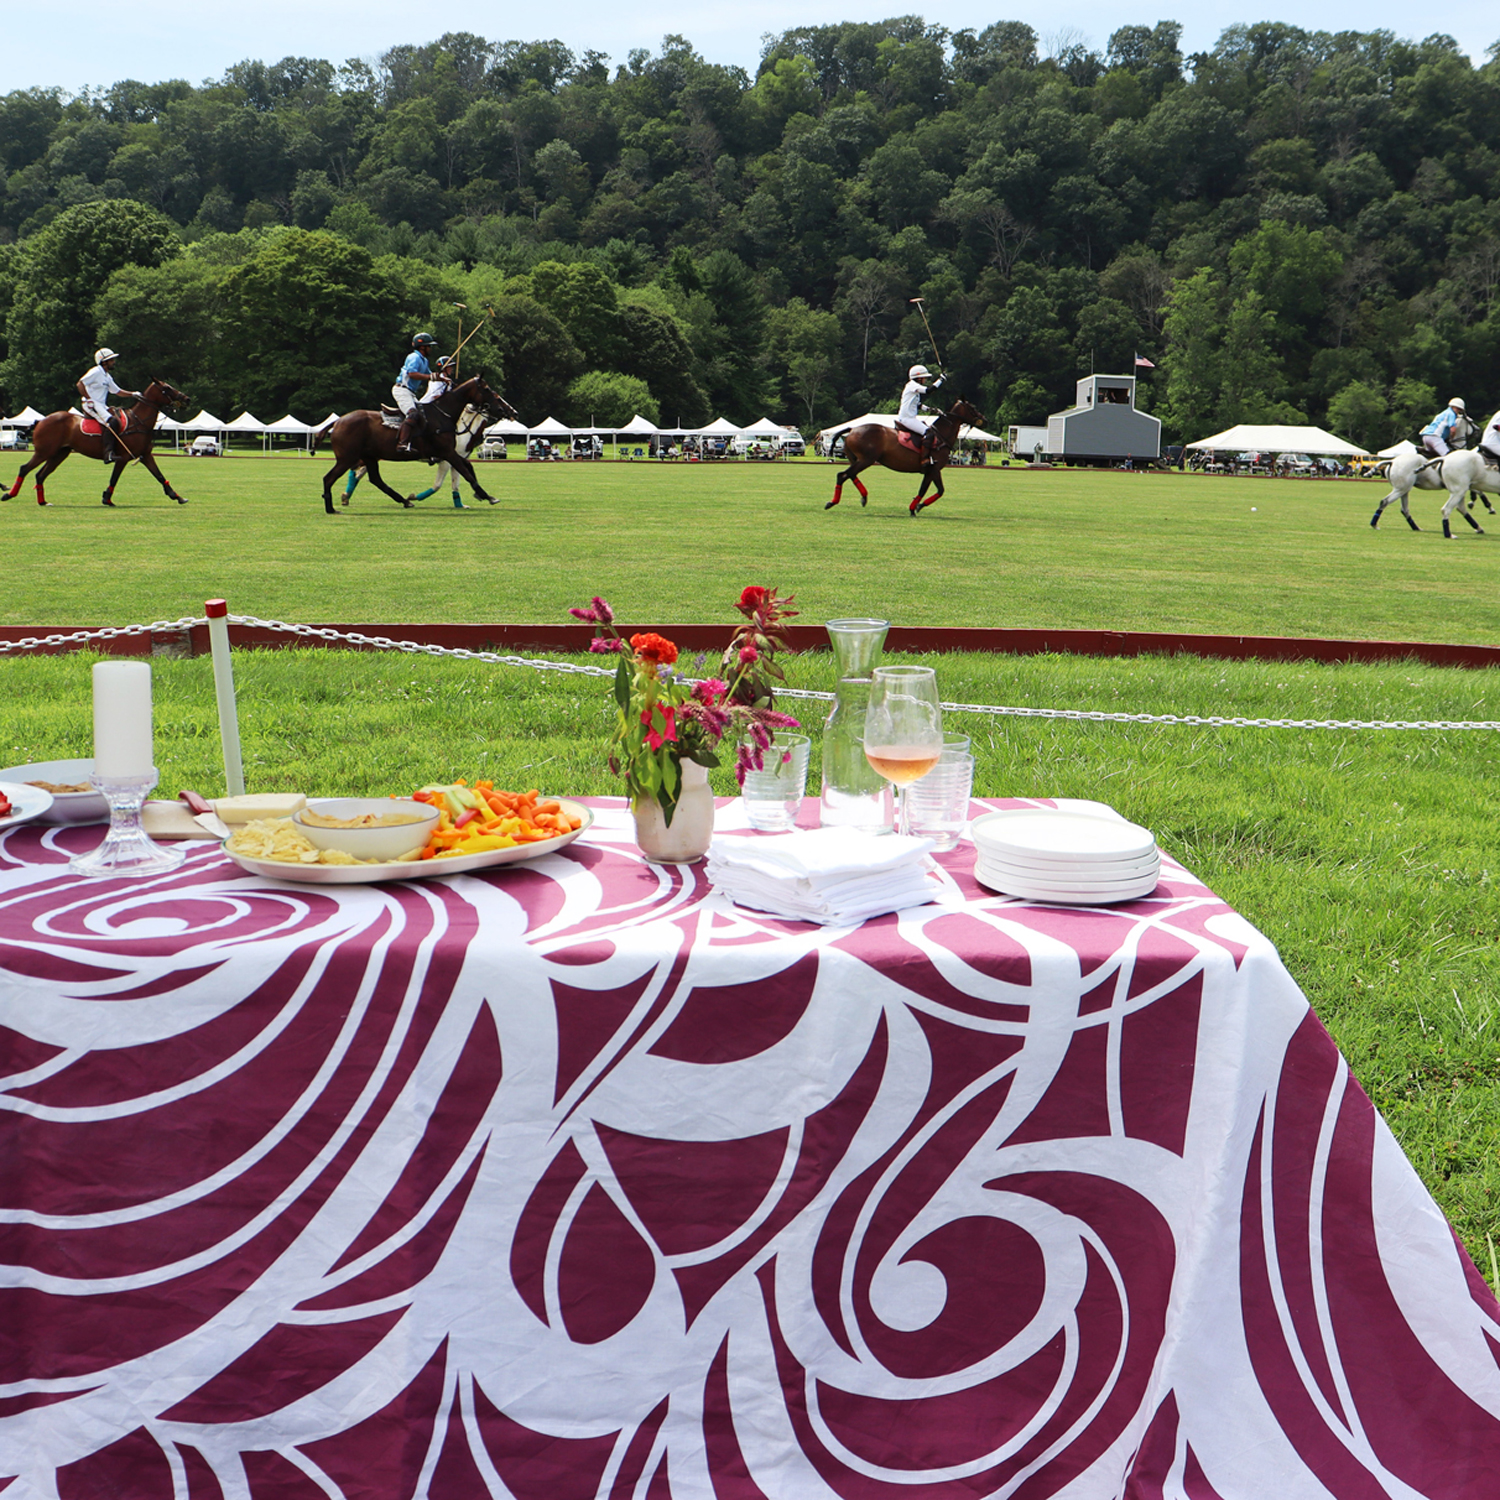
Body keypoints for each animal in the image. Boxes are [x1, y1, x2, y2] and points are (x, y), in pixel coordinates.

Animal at [3, 378, 190, 507]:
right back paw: (8, 495)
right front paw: (107, 498)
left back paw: (43, 501)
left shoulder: (145, 455)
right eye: (166, 388)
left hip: (60, 453)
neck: (139, 421)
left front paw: (178, 496)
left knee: (40, 474)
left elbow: (159, 476)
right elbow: (114, 478)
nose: (186, 398)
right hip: (44, 451)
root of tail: (41, 421)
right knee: (25, 468)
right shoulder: (123, 458)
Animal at [340, 402, 492, 513]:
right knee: (356, 470)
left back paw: (346, 496)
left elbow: (459, 480)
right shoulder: (447, 458)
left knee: (359, 471)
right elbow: (438, 484)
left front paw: (463, 503)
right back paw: (346, 496)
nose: (481, 439)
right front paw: (414, 497)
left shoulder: (455, 458)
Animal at [822, 399, 984, 522]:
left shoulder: (931, 471)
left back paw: (863, 497)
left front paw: (916, 507)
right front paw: (916, 508)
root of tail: (851, 430)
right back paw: (832, 502)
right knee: (843, 475)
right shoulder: (933, 469)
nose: (985, 420)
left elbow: (932, 490)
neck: (941, 436)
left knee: (850, 474)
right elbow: (932, 490)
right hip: (866, 459)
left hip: (856, 459)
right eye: (972, 408)